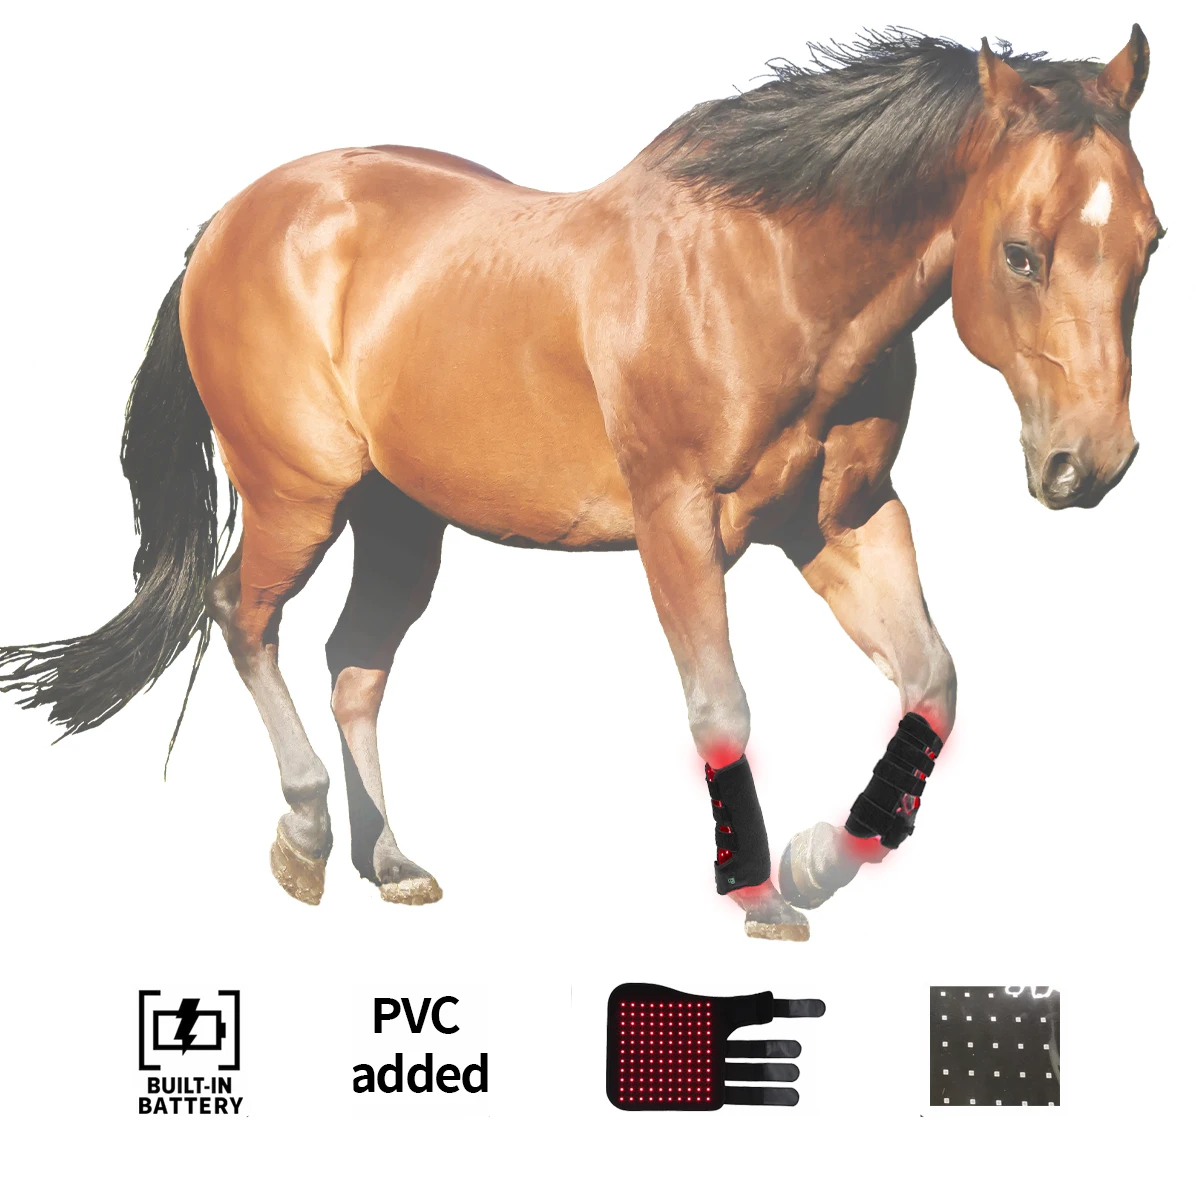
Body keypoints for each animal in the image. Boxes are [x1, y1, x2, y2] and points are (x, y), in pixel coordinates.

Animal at [0, 29, 1161, 939]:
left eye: (1150, 243)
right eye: (1020, 253)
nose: (1090, 463)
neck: (771, 274)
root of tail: (229, 222)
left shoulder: (846, 522)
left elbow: (933, 682)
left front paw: (817, 862)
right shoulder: (677, 523)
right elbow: (721, 704)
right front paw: (760, 896)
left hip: (400, 522)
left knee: (355, 666)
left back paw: (391, 862)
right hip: (300, 498)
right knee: (241, 617)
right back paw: (305, 832)